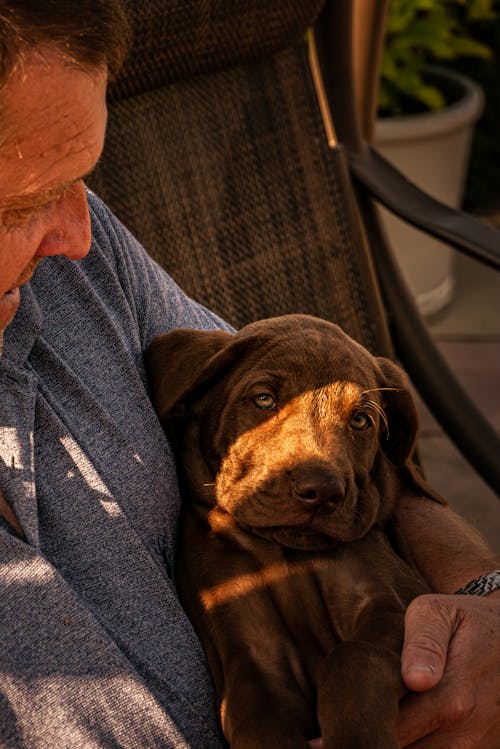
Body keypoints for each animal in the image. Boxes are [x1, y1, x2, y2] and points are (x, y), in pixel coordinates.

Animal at [145, 314, 442, 748]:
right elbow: (259, 723)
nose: (321, 491)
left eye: (360, 420)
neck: (284, 554)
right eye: (264, 399)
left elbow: (353, 658)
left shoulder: (396, 600)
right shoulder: (253, 658)